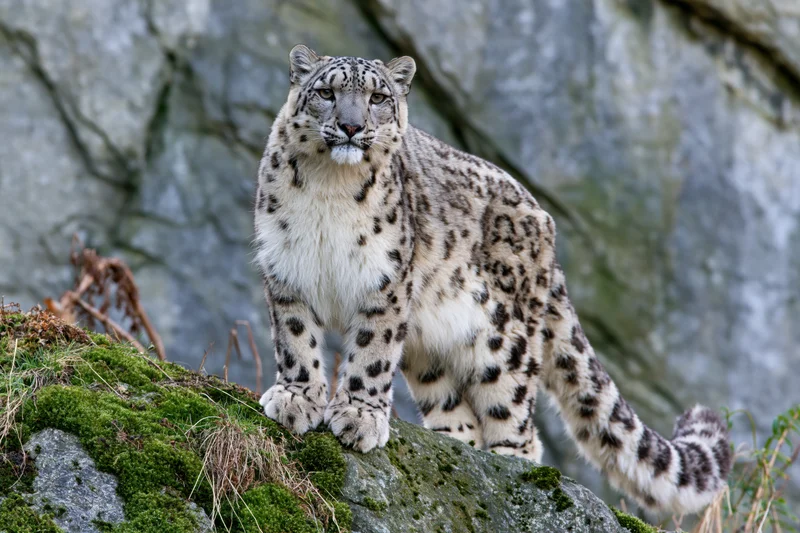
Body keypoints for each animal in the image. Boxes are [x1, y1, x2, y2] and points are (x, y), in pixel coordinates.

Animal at [253, 45, 731, 515]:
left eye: (378, 98)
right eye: (327, 93)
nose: (351, 127)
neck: (329, 189)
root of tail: (546, 225)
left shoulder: (385, 282)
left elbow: (371, 353)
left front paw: (357, 416)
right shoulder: (286, 270)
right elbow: (296, 340)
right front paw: (297, 399)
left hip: (503, 339)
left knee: (518, 420)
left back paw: (512, 469)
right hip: (430, 347)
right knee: (455, 410)